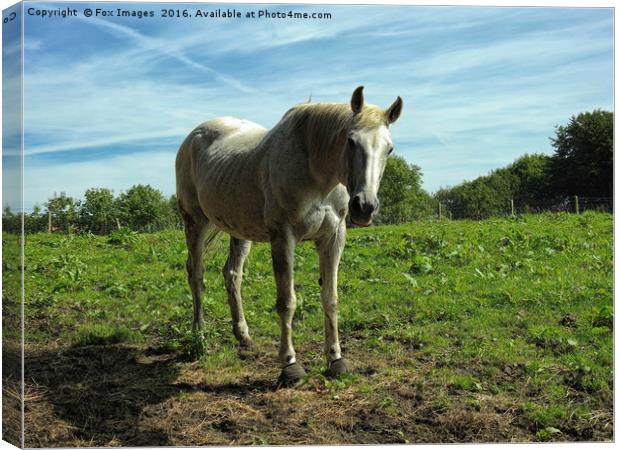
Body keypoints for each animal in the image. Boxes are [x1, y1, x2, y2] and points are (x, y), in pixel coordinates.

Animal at [177, 87, 404, 386]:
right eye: (351, 141)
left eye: (389, 148)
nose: (364, 206)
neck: (314, 169)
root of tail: (193, 136)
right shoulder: (283, 238)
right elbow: (287, 302)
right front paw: (290, 365)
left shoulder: (333, 238)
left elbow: (330, 298)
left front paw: (336, 359)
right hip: (195, 223)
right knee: (197, 275)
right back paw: (199, 335)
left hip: (238, 229)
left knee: (232, 275)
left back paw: (243, 337)